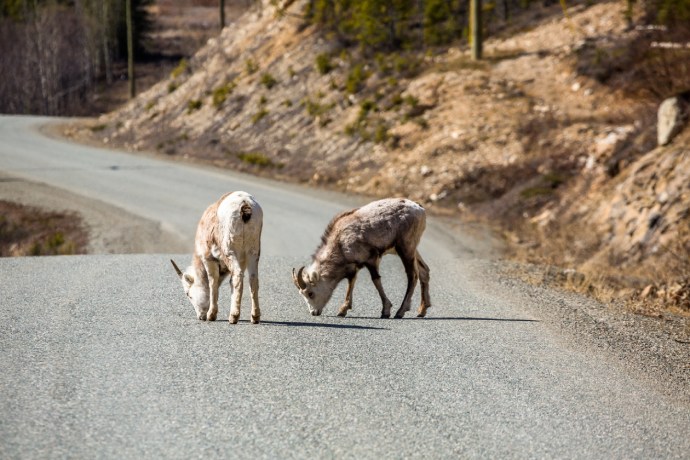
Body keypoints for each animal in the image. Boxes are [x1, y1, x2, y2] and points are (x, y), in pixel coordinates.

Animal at [171, 190, 262, 324]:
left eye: (188, 294)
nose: (201, 317)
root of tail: (244, 204)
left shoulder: (208, 258)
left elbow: (212, 283)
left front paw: (211, 315)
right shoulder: (242, 260)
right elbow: (230, 283)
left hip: (229, 251)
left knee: (238, 275)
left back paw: (233, 317)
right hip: (253, 252)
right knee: (253, 278)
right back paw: (254, 317)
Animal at [292, 198, 430, 320]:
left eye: (310, 293)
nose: (314, 312)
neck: (340, 242)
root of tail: (420, 209)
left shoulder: (371, 260)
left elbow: (376, 280)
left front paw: (385, 311)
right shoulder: (354, 266)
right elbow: (351, 282)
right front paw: (343, 310)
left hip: (406, 249)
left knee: (413, 276)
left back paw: (400, 312)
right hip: (410, 250)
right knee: (424, 271)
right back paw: (421, 311)